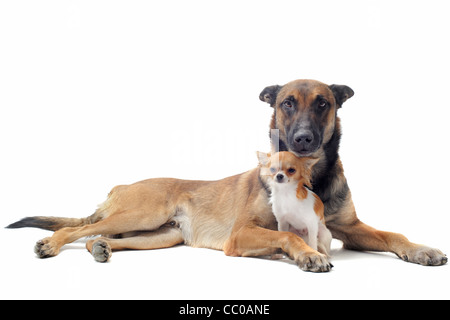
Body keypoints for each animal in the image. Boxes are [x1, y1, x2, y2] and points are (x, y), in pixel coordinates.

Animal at [7, 79, 446, 270]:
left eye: (323, 103)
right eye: (287, 103)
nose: (303, 139)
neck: (310, 178)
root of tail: (123, 185)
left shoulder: (350, 228)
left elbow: (393, 235)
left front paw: (421, 249)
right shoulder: (242, 233)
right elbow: (286, 235)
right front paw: (304, 254)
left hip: (161, 235)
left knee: (96, 237)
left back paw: (101, 248)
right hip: (142, 213)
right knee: (77, 228)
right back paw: (51, 244)